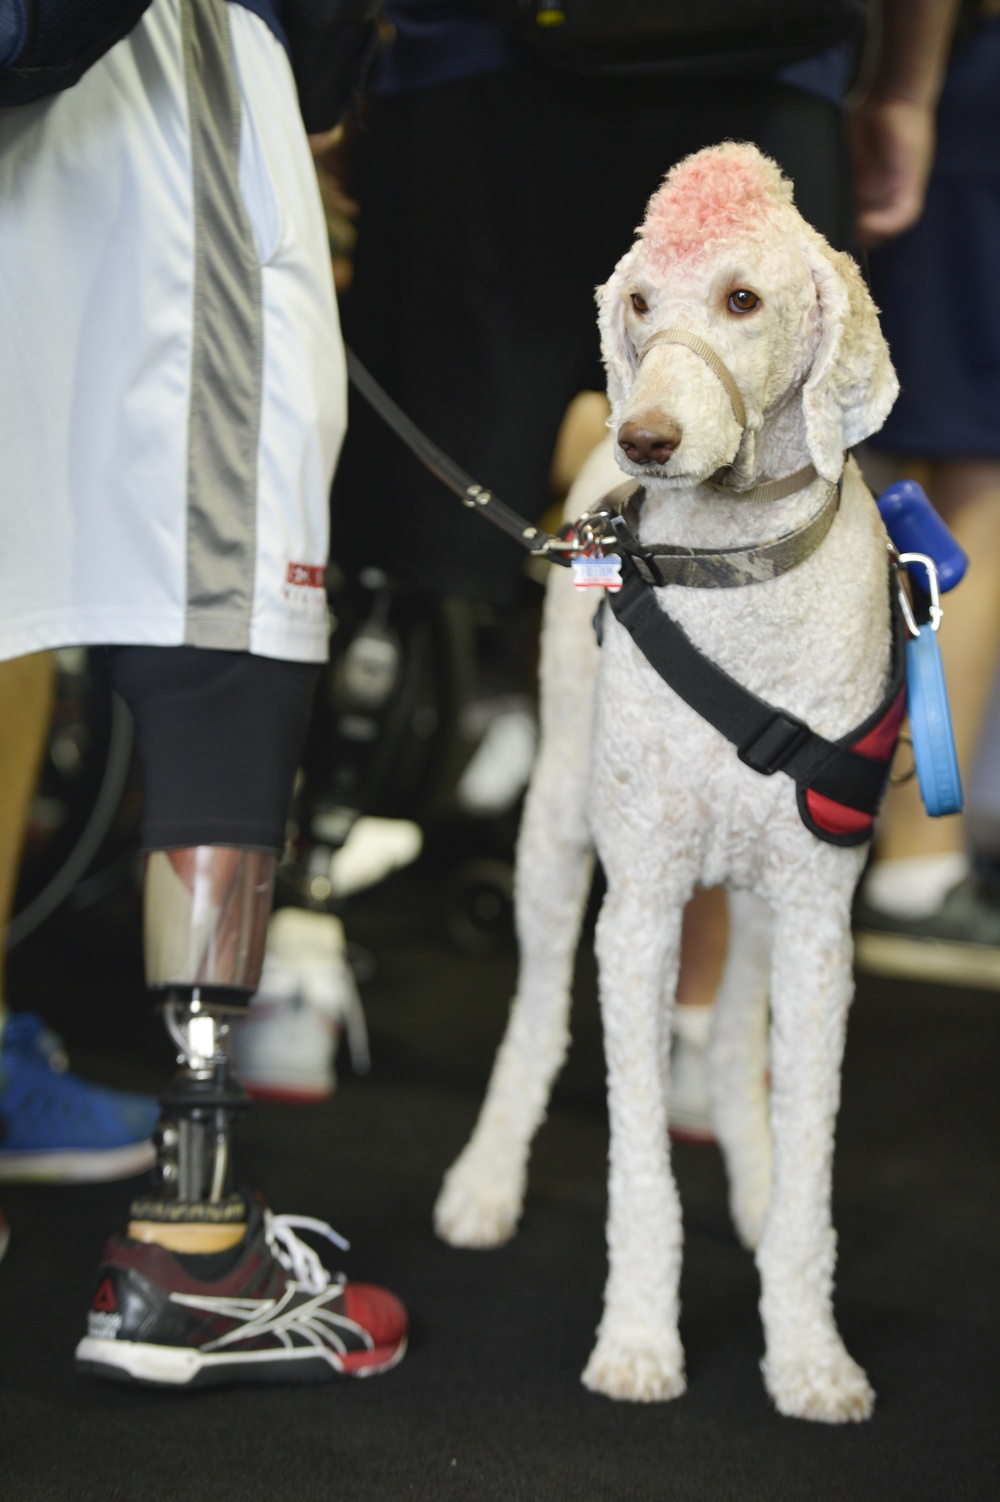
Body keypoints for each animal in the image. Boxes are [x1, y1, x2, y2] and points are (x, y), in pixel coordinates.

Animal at [432, 146, 900, 1423]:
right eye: (639, 301)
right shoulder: (636, 910)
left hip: (757, 899)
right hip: (554, 837)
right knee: (535, 1013)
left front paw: (808, 1350)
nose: (644, 436)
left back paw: (751, 1172)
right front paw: (639, 1338)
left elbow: (813, 1160)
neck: (732, 577)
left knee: (738, 1032)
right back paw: (486, 1178)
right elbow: (638, 1164)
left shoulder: (817, 918)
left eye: (742, 299)